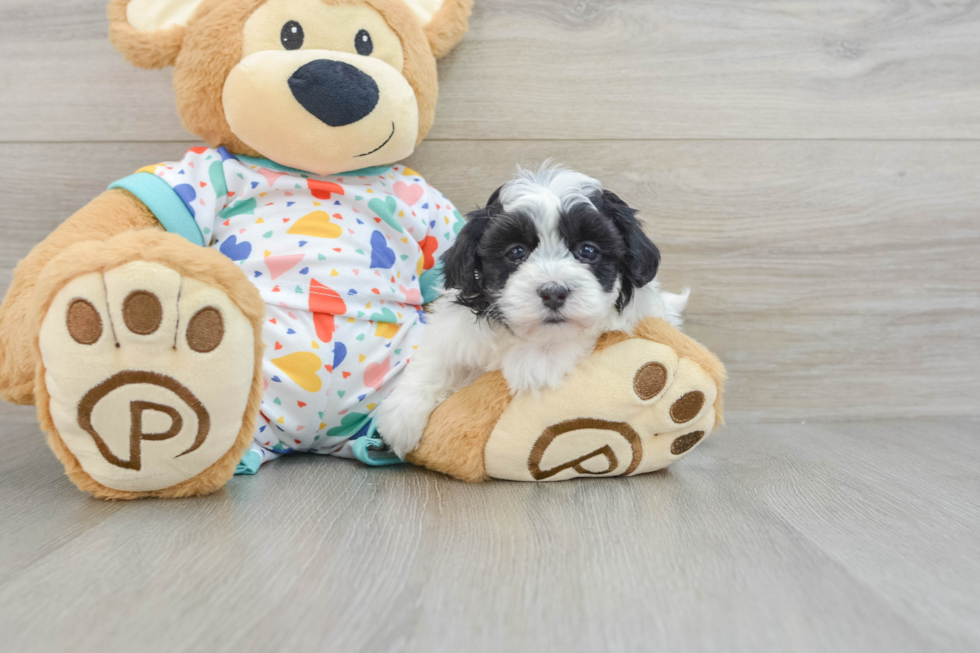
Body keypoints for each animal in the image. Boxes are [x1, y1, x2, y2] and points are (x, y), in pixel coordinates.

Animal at [376, 164, 688, 458]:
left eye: (588, 250)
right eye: (516, 252)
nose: (553, 292)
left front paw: (539, 361)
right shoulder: (456, 328)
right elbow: (437, 356)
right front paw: (402, 415)